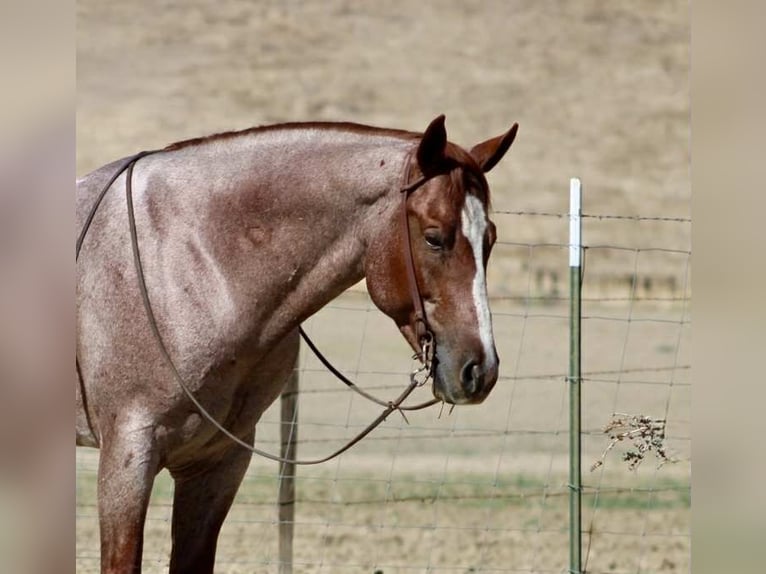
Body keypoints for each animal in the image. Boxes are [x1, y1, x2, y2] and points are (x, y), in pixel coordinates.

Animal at [76, 114, 518, 573]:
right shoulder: (127, 462)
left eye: (489, 239)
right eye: (434, 237)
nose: (480, 369)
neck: (189, 262)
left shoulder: (217, 463)